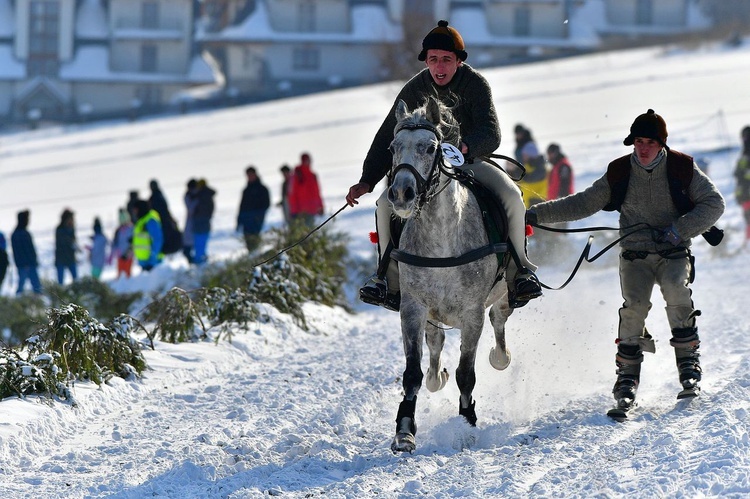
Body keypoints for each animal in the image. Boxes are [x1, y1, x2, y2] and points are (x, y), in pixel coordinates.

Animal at [388, 96, 516, 454]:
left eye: (431, 147)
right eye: (392, 147)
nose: (401, 193)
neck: (442, 239)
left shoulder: (472, 313)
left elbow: (466, 374)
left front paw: (467, 424)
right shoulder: (413, 308)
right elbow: (412, 373)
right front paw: (405, 431)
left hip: (504, 290)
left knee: (500, 316)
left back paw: (500, 356)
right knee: (436, 344)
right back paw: (436, 376)